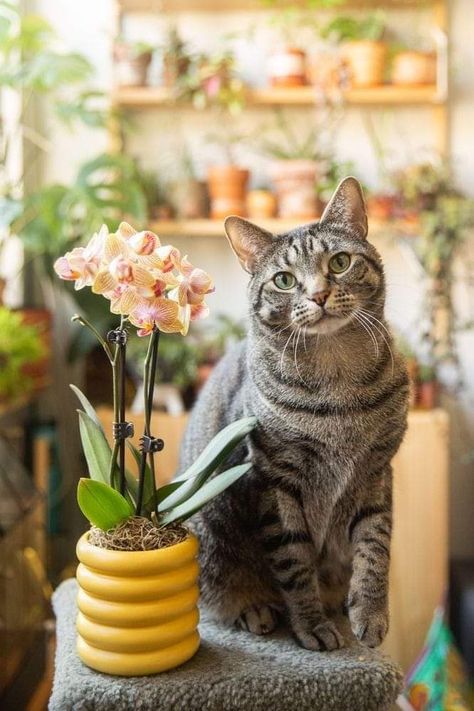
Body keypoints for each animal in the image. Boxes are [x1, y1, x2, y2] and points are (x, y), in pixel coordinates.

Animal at [180, 178, 410, 652]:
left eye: (340, 262)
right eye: (284, 281)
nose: (319, 295)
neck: (338, 383)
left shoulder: (377, 471)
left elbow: (375, 547)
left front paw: (369, 614)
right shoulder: (275, 480)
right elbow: (295, 562)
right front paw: (311, 625)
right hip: (207, 538)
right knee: (222, 597)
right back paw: (256, 610)